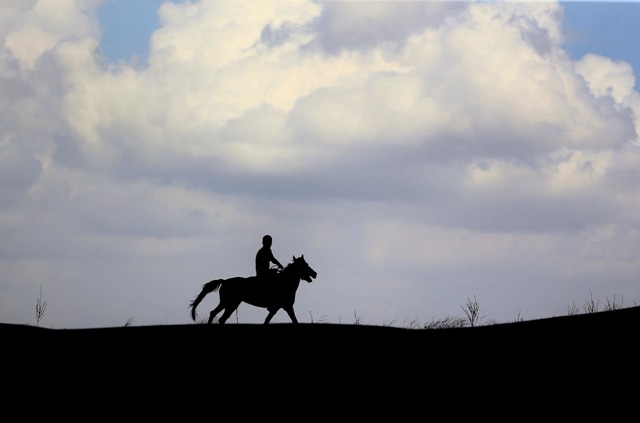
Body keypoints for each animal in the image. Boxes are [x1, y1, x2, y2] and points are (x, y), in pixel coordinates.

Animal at [190, 255, 320, 324]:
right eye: (305, 265)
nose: (315, 274)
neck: (285, 282)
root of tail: (225, 281)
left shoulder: (277, 308)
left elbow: (267, 321)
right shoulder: (286, 307)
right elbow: (294, 321)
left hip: (230, 303)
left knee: (217, 315)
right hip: (229, 303)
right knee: (218, 316)